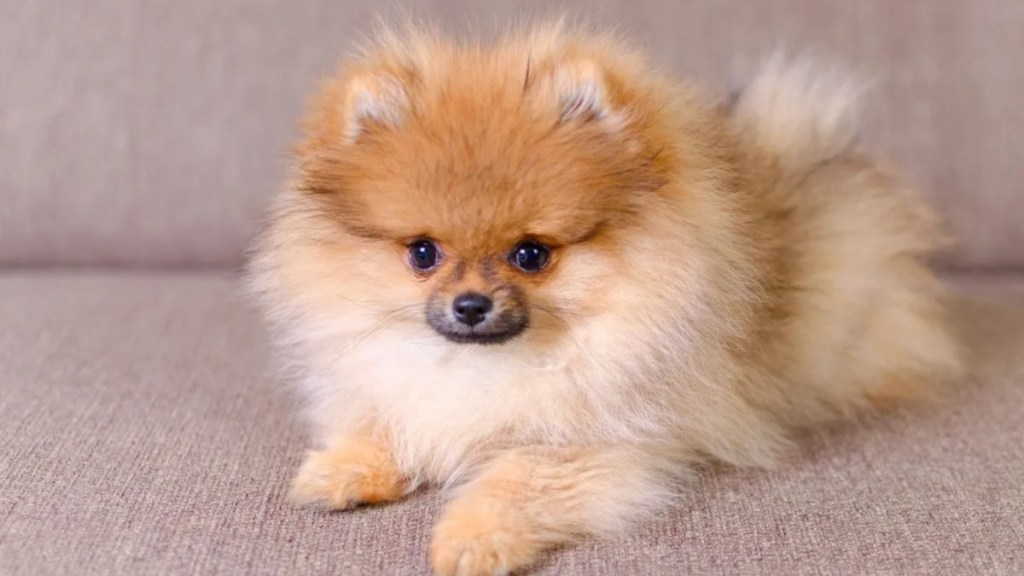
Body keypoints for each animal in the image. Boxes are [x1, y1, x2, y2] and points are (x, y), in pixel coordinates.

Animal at [245, 20, 958, 569]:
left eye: (531, 254)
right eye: (424, 253)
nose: (470, 306)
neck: (487, 365)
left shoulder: (588, 445)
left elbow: (512, 483)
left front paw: (471, 540)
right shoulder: (398, 384)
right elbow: (385, 420)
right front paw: (341, 469)